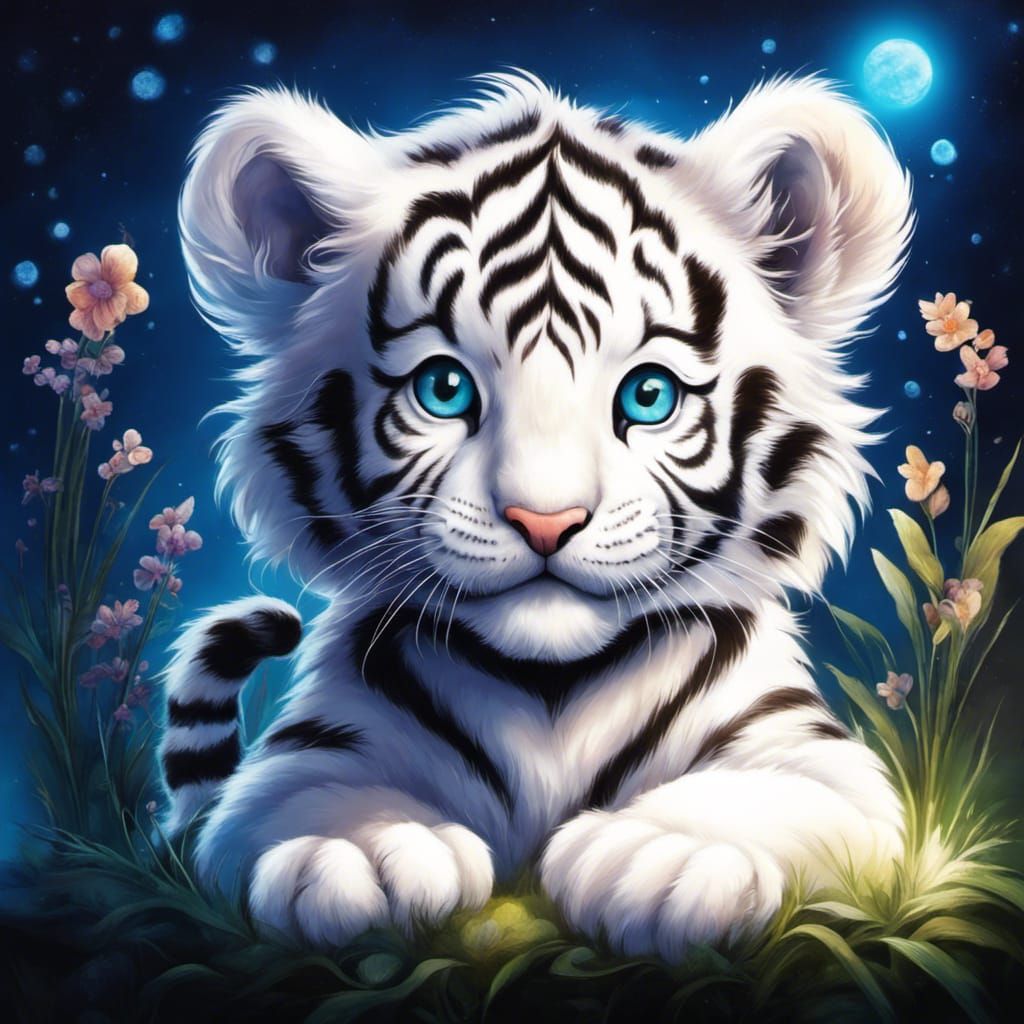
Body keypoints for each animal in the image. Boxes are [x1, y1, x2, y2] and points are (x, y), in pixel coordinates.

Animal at [163, 71, 911, 960]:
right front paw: (360, 852)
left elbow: (765, 797)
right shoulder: (307, 754)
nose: (546, 521)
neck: (551, 687)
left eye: (648, 394)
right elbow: (309, 799)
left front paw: (663, 858)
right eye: (443, 388)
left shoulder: (811, 756)